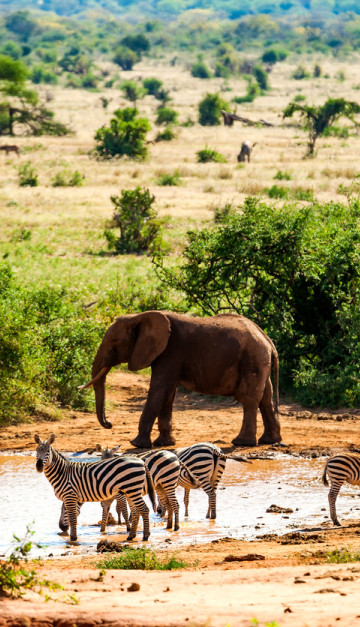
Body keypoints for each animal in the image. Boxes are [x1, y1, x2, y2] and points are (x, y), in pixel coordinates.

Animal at [79, 310, 282, 448]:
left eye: (114, 342)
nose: (109, 424)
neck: (139, 316)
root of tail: (268, 340)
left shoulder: (170, 352)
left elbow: (158, 391)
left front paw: (137, 444)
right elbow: (167, 395)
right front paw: (164, 444)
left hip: (252, 359)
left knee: (249, 399)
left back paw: (241, 442)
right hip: (258, 361)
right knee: (265, 398)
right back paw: (269, 440)